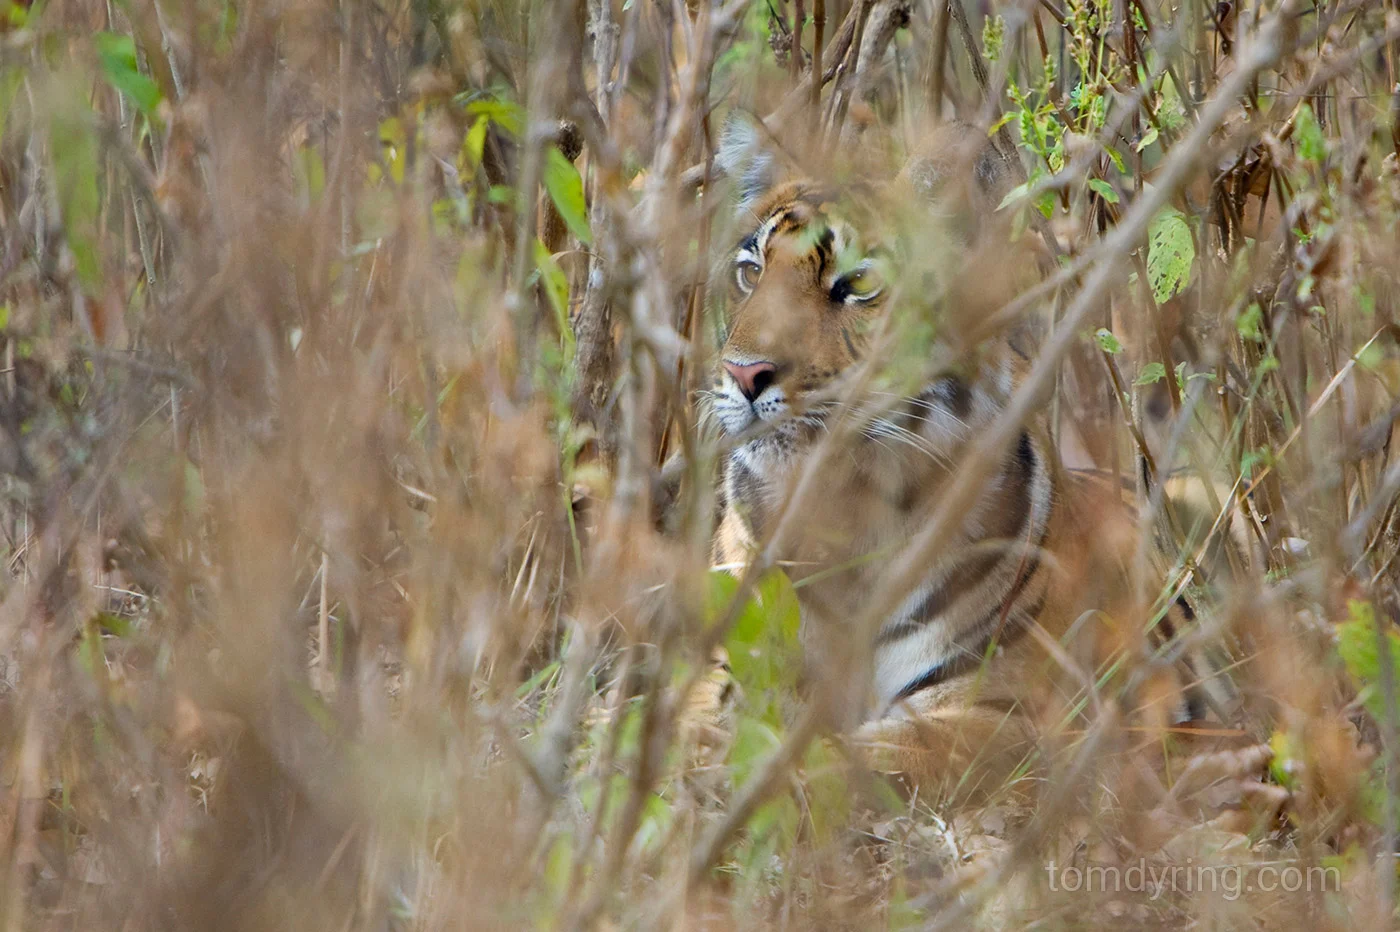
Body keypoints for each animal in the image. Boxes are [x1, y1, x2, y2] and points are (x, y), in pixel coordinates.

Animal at [705, 115, 1244, 807]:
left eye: (856, 285)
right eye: (751, 272)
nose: (744, 374)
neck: (843, 510)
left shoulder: (1007, 711)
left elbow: (854, 761)